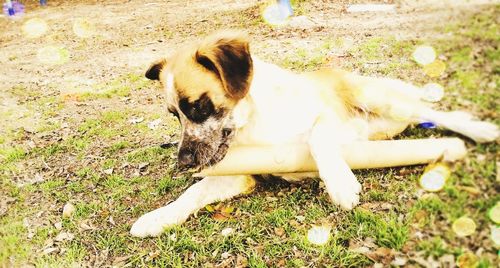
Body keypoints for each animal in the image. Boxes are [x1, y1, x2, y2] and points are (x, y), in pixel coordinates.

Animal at [130, 30, 500, 238]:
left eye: (198, 107)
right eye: (174, 115)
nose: (183, 163)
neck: (254, 121)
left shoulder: (326, 116)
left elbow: (318, 136)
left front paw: (340, 184)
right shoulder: (238, 175)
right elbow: (192, 194)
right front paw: (157, 218)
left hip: (380, 100)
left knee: (437, 114)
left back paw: (480, 131)